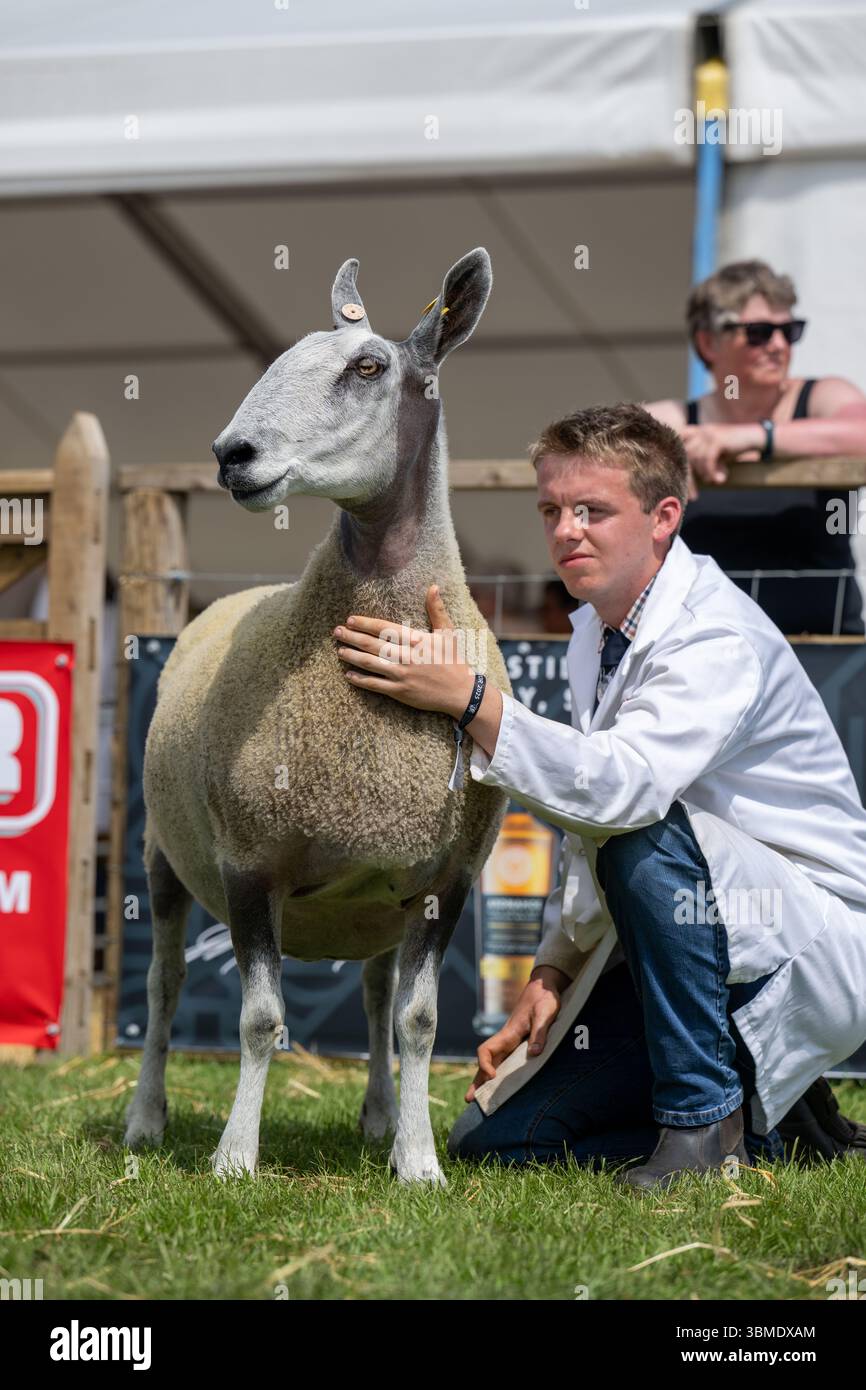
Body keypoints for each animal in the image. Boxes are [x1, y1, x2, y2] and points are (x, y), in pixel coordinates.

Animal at [123, 248, 512, 1186]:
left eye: (368, 367)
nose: (232, 454)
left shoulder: (445, 880)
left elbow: (419, 1022)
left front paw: (419, 1163)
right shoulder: (250, 863)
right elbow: (259, 1019)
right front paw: (234, 1159)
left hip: (377, 903)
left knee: (373, 995)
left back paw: (378, 1119)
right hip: (162, 857)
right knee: (162, 986)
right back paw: (145, 1120)